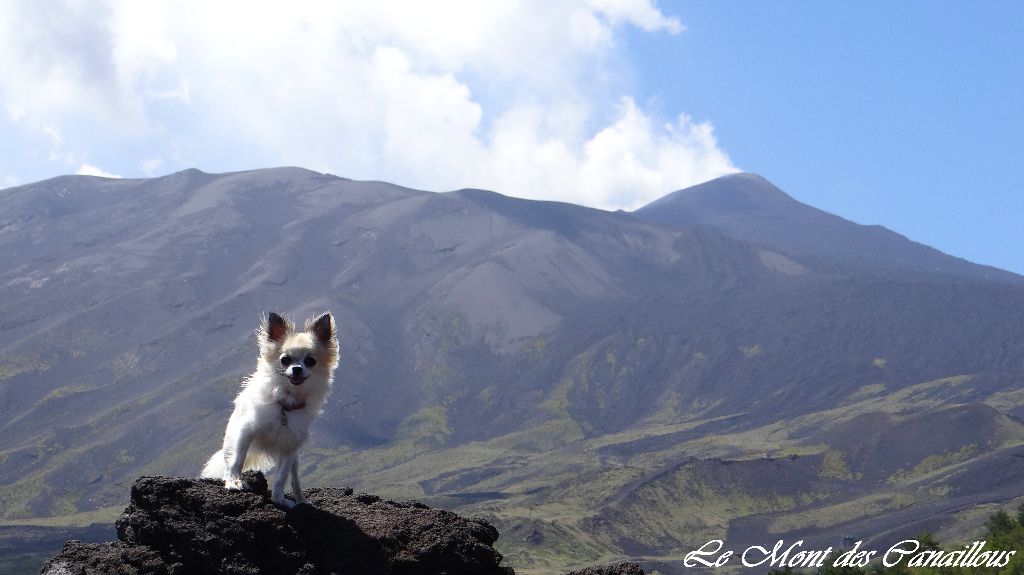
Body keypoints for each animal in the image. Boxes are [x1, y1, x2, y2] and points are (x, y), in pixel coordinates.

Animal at [200, 308, 339, 505]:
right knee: (230, 459)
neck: (286, 401)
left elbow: (281, 477)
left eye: (310, 361)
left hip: (295, 459)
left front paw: (279, 499)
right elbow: (238, 460)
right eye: (285, 359)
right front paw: (234, 482)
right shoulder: (246, 432)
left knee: (295, 479)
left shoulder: (290, 448)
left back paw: (301, 500)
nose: (297, 368)